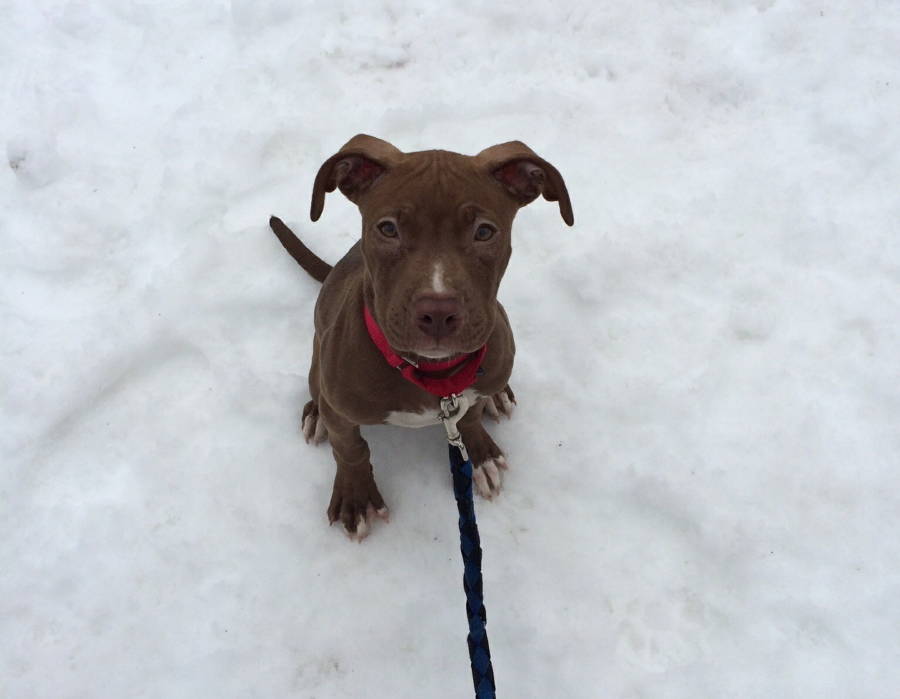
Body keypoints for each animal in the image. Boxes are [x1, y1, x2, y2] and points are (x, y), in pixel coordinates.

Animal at [270, 137, 572, 540]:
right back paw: (316, 413)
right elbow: (349, 448)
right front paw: (356, 496)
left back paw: (498, 397)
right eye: (388, 228)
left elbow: (470, 416)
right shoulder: (344, 412)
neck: (433, 374)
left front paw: (480, 454)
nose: (438, 313)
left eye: (484, 232)